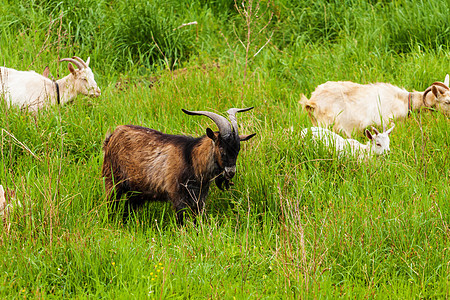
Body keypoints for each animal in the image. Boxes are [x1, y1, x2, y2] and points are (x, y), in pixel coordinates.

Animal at [103, 107, 256, 223]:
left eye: (237, 151)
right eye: (222, 150)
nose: (231, 172)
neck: (191, 159)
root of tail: (113, 135)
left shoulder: (199, 200)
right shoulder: (178, 197)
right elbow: (181, 221)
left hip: (136, 192)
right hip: (112, 181)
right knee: (110, 205)